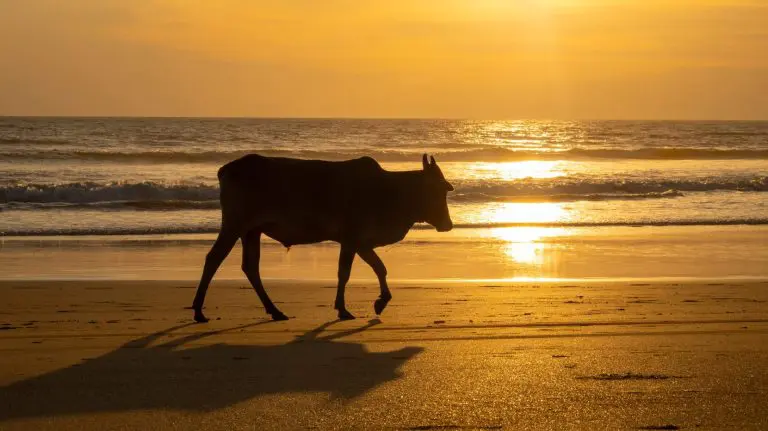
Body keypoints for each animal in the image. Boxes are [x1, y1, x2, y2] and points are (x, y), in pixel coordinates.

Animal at [191, 153, 454, 323]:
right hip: (235, 225)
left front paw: (381, 301)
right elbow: (344, 273)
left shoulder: (361, 242)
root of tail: (226, 170)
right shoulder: (351, 239)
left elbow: (380, 268)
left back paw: (275, 311)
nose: (448, 225)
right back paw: (198, 311)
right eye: (438, 190)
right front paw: (343, 309)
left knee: (250, 267)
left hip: (251, 231)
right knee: (214, 258)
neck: (391, 191)